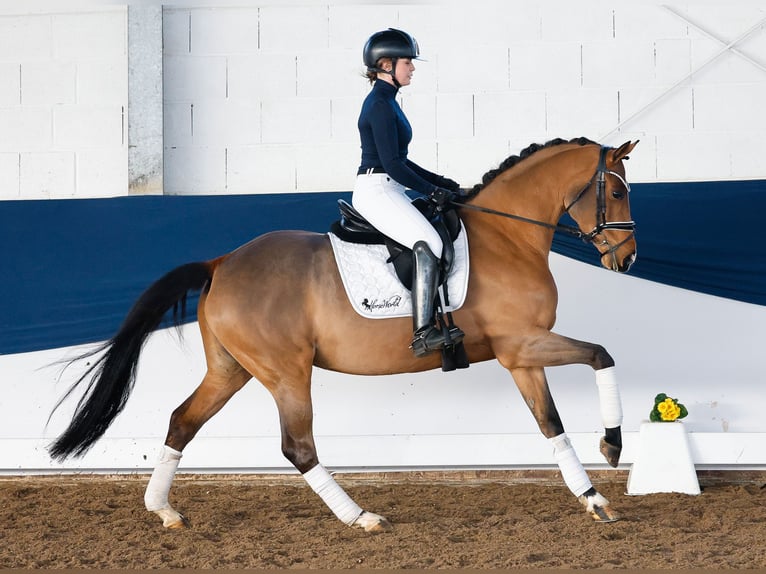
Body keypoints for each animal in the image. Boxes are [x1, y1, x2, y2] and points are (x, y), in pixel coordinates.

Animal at [49, 137, 640, 532]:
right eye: (615, 190)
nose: (628, 258)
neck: (507, 236)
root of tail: (221, 262)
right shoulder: (521, 344)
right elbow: (602, 355)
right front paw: (612, 446)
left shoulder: (520, 356)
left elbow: (551, 423)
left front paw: (592, 498)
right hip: (285, 372)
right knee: (297, 445)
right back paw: (361, 516)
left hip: (232, 369)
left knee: (182, 420)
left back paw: (165, 510)